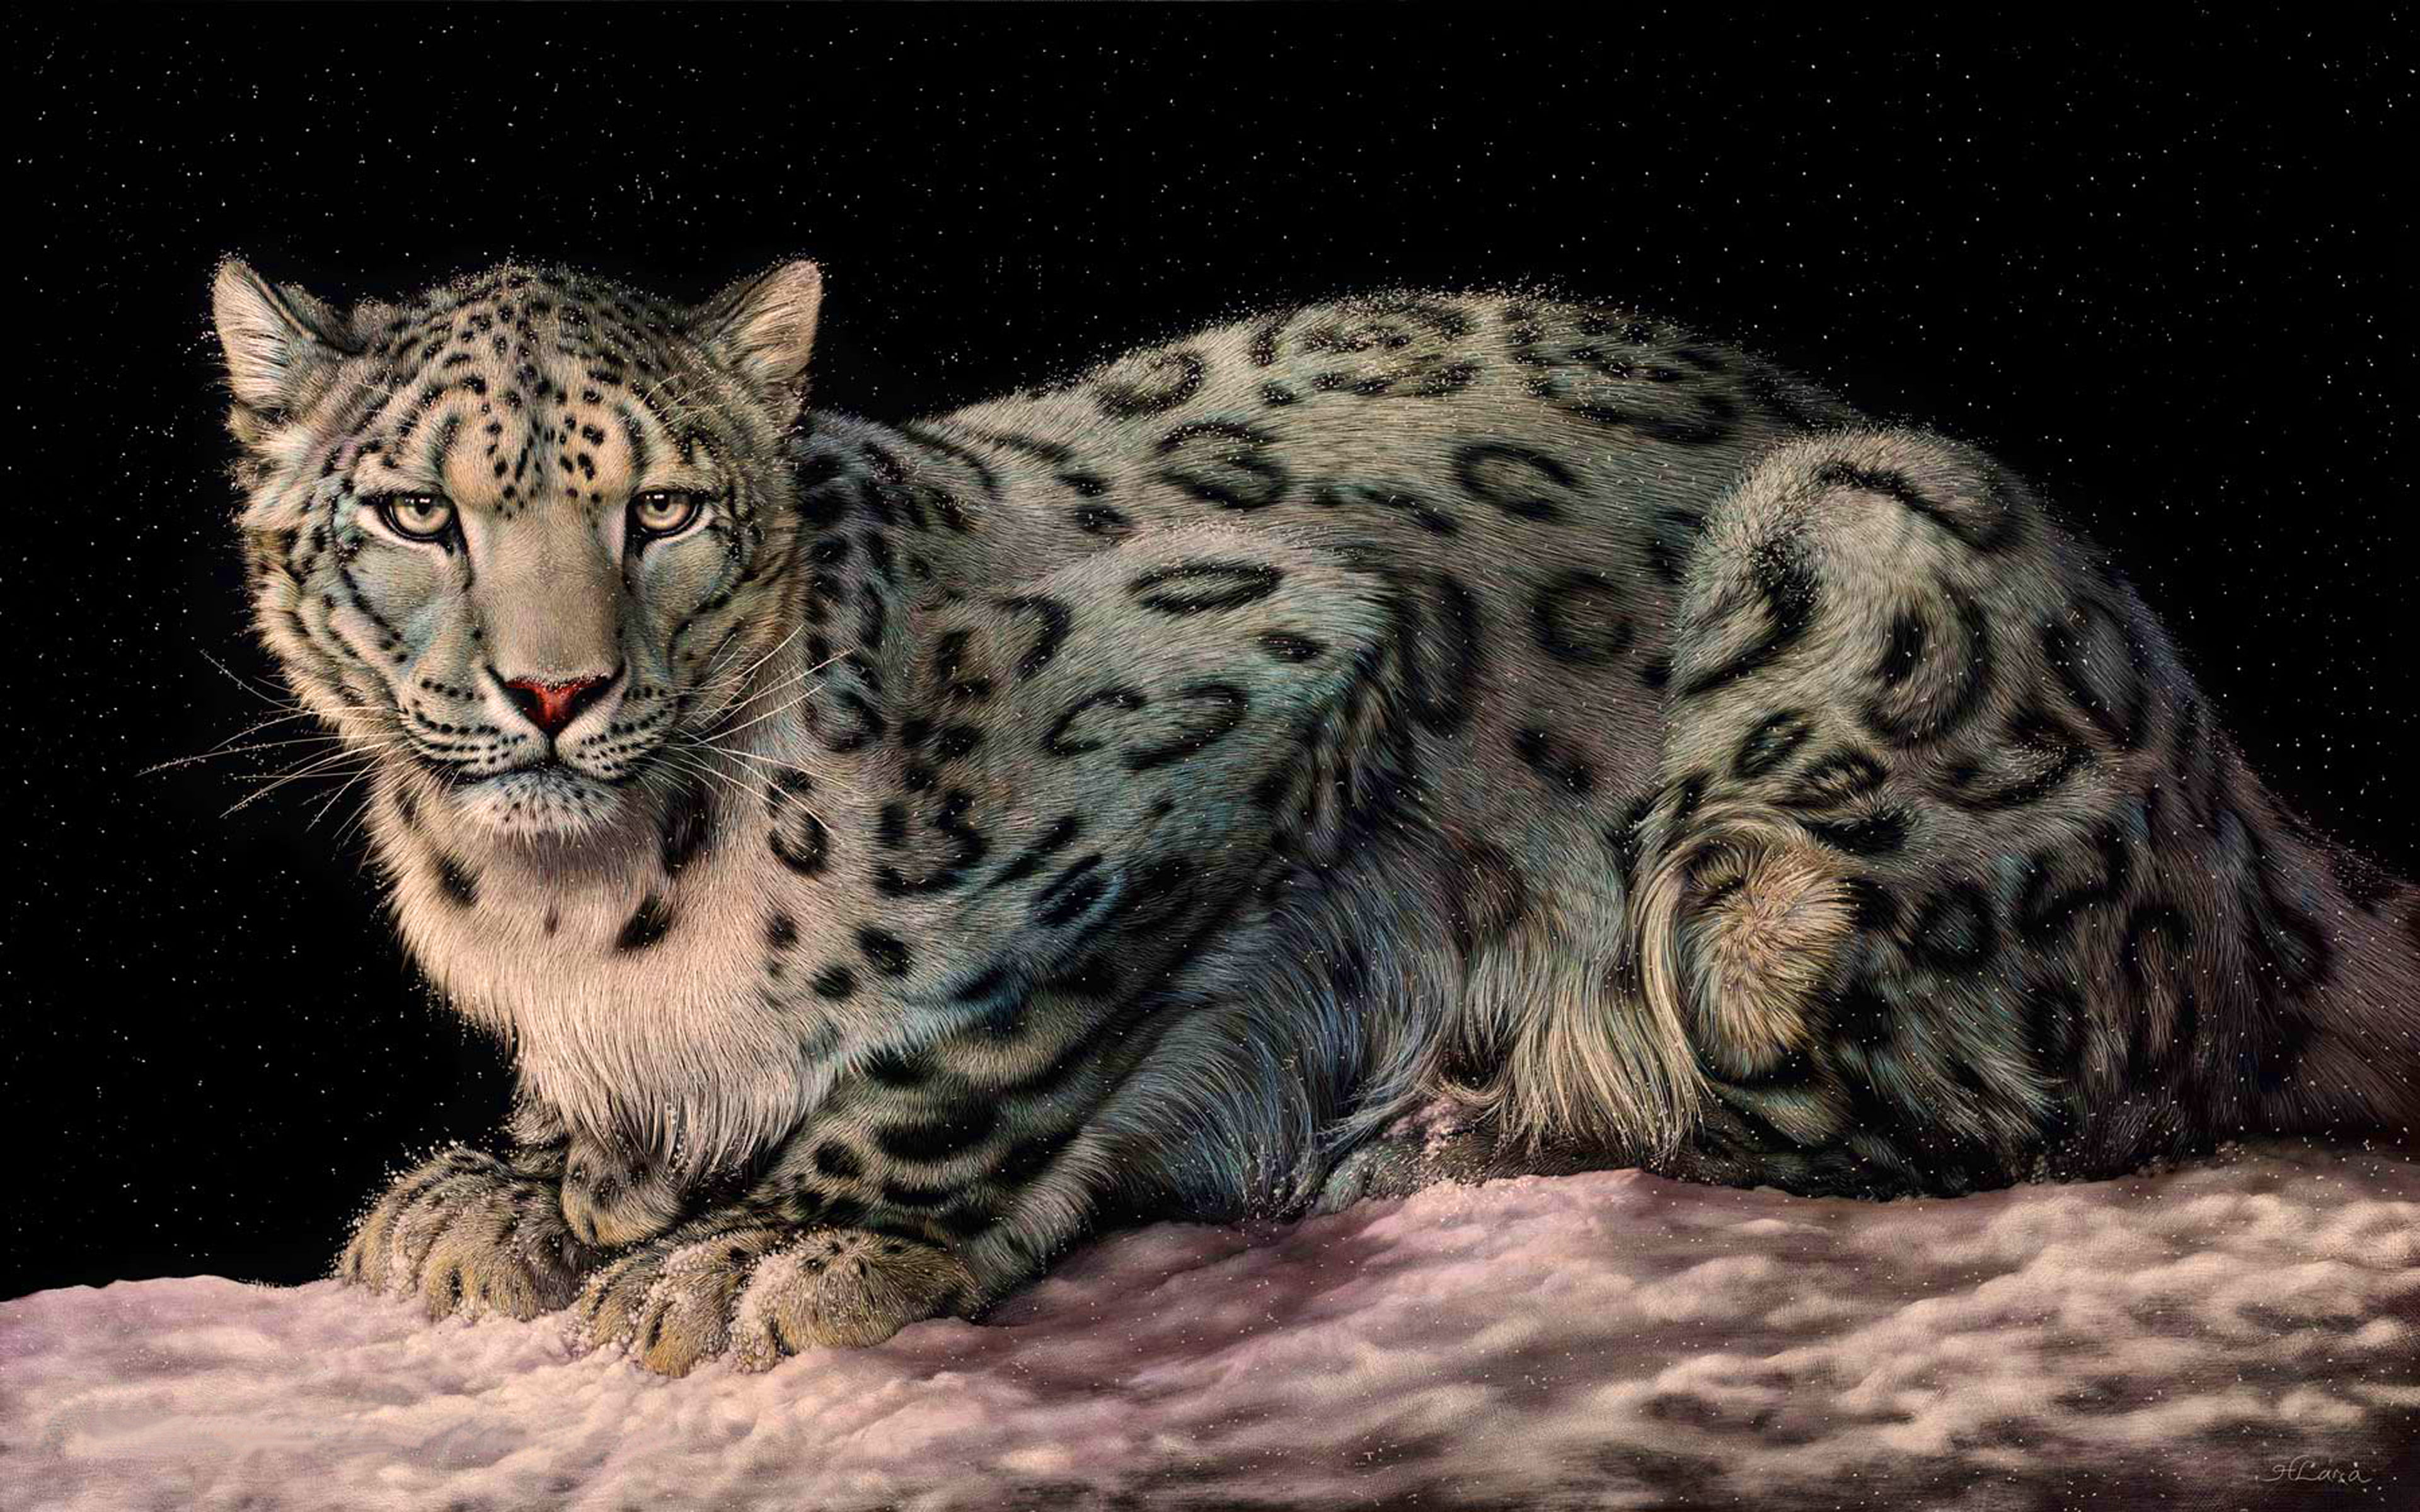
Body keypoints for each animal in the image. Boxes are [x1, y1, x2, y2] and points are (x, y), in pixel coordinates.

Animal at [208, 256, 2420, 1376]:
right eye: (415, 511)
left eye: (661, 506)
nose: (554, 691)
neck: (566, 903)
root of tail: (2242, 794)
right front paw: (512, 1188)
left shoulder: (1255, 676)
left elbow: (987, 1038)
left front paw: (779, 1245)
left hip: (1828, 689)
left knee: (1995, 1087)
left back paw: (1469, 1119)